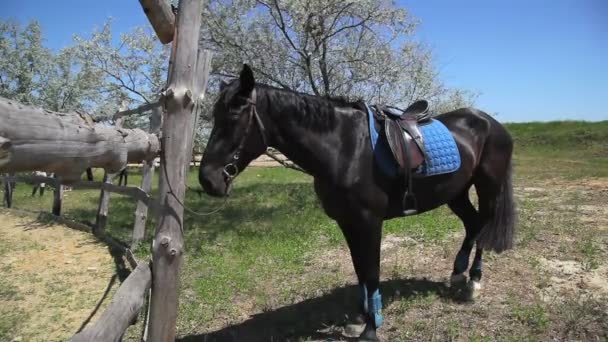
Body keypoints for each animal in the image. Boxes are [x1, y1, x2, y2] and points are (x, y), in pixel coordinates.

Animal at [198, 65, 512, 342]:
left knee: (483, 226)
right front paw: (360, 319)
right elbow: (360, 270)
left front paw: (371, 329)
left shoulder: (368, 222)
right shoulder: (347, 222)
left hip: (488, 189)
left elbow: (371, 272)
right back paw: (457, 274)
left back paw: (473, 282)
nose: (208, 180)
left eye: (234, 116)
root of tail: (492, 123)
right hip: (455, 193)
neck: (344, 147)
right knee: (472, 224)